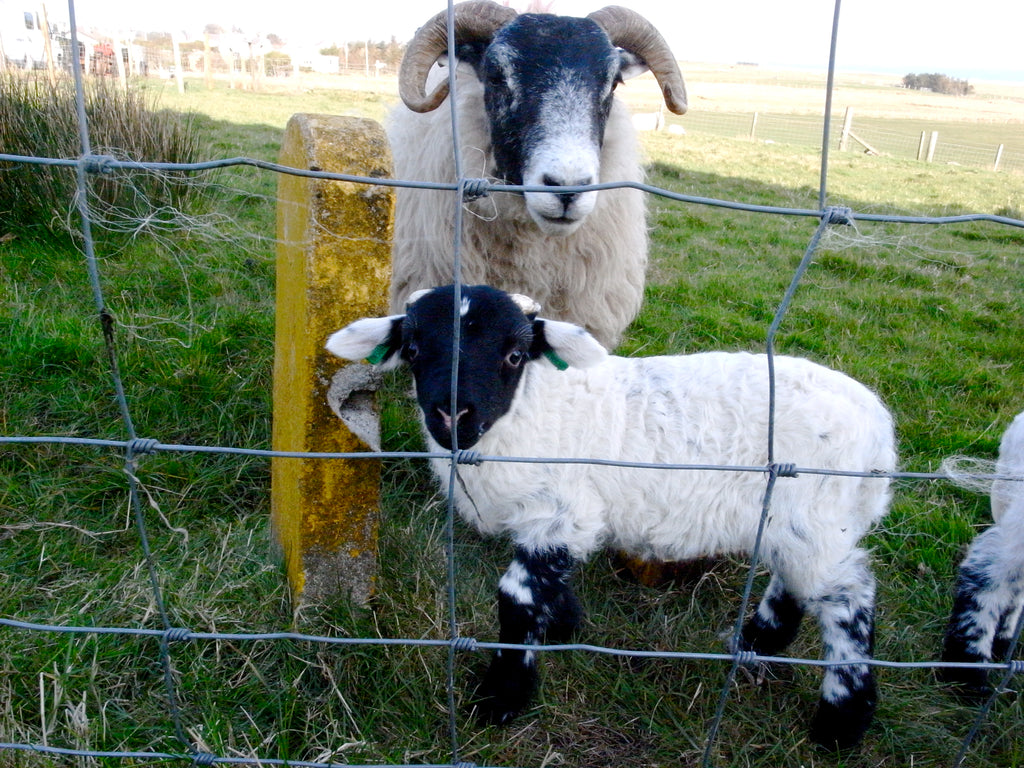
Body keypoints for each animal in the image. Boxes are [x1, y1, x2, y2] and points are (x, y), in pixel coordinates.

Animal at [327, 284, 897, 753]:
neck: (530, 410)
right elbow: (548, 585)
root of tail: (878, 430)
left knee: (849, 599)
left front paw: (501, 698)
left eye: (514, 355)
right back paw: (757, 643)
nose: (452, 416)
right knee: (794, 579)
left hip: (817, 519)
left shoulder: (564, 511)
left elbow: (517, 597)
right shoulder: (559, 524)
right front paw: (562, 626)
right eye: (414, 351)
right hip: (795, 521)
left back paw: (841, 720)